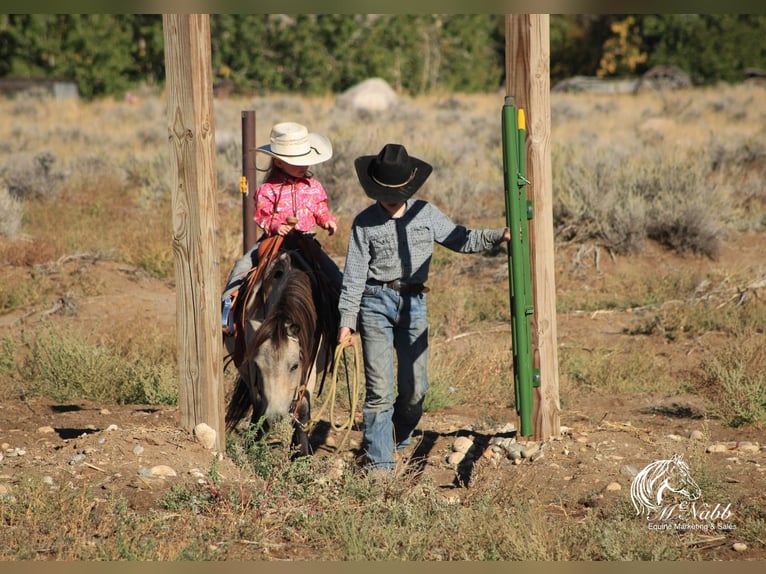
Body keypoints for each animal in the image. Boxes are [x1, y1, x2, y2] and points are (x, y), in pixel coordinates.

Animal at [224, 232, 340, 456]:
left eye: (294, 366)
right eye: (260, 366)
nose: (276, 416)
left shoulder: (309, 368)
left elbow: (302, 409)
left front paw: (301, 454)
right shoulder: (251, 367)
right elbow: (259, 403)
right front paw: (254, 445)